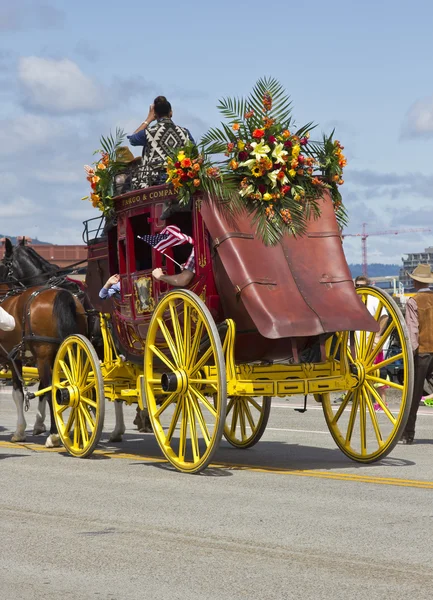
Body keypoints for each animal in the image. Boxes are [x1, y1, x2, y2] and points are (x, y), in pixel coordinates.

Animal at [0, 286, 87, 446]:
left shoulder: (15, 359)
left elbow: (18, 394)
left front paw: (19, 432)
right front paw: (39, 424)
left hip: (44, 357)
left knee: (52, 391)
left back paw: (54, 435)